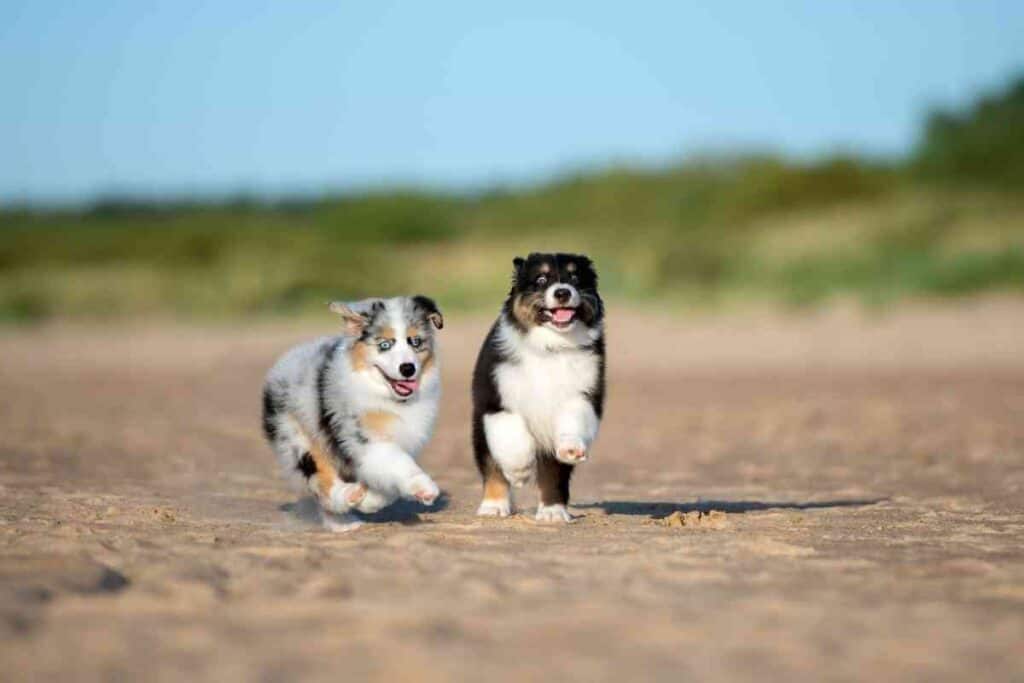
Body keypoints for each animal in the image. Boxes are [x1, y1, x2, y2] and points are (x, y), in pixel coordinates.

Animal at [468, 252, 602, 524]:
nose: (562, 292)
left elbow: (573, 420)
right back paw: (493, 506)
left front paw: (571, 448)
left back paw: (552, 512)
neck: (550, 346)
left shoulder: (584, 393)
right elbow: (511, 434)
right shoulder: (495, 398)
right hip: (480, 431)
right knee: (492, 467)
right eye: (541, 279)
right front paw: (520, 471)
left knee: (553, 474)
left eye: (575, 277)